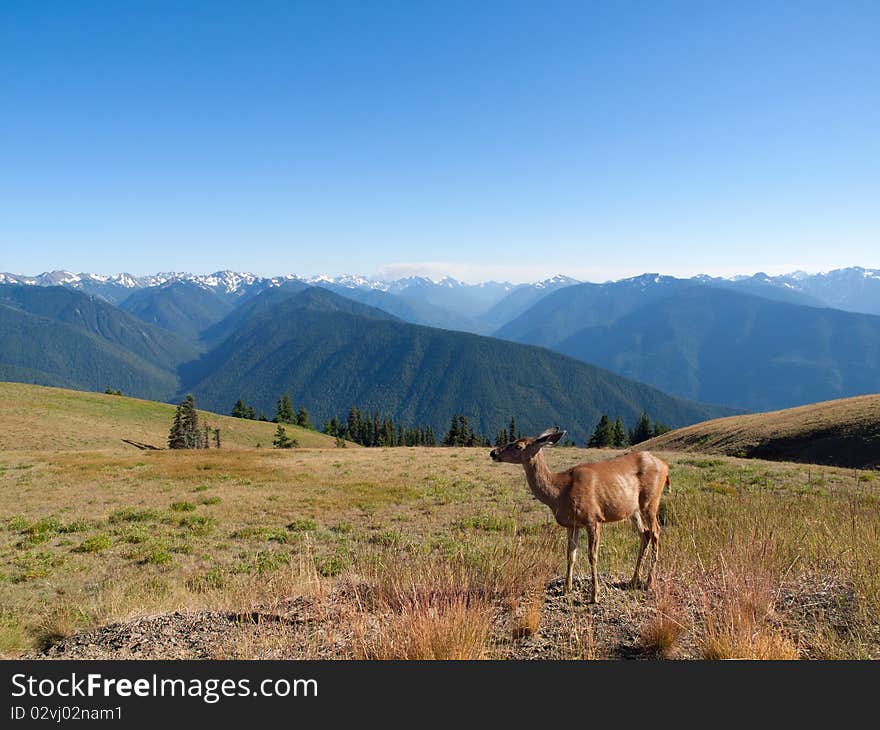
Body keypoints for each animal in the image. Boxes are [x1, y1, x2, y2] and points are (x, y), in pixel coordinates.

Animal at [492, 424, 672, 600]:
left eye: (518, 446)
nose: (493, 452)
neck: (559, 493)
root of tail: (665, 466)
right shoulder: (572, 524)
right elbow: (570, 555)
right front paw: (567, 588)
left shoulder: (593, 518)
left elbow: (592, 556)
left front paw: (594, 595)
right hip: (633, 510)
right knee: (645, 534)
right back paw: (634, 580)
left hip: (650, 501)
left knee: (655, 532)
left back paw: (649, 582)